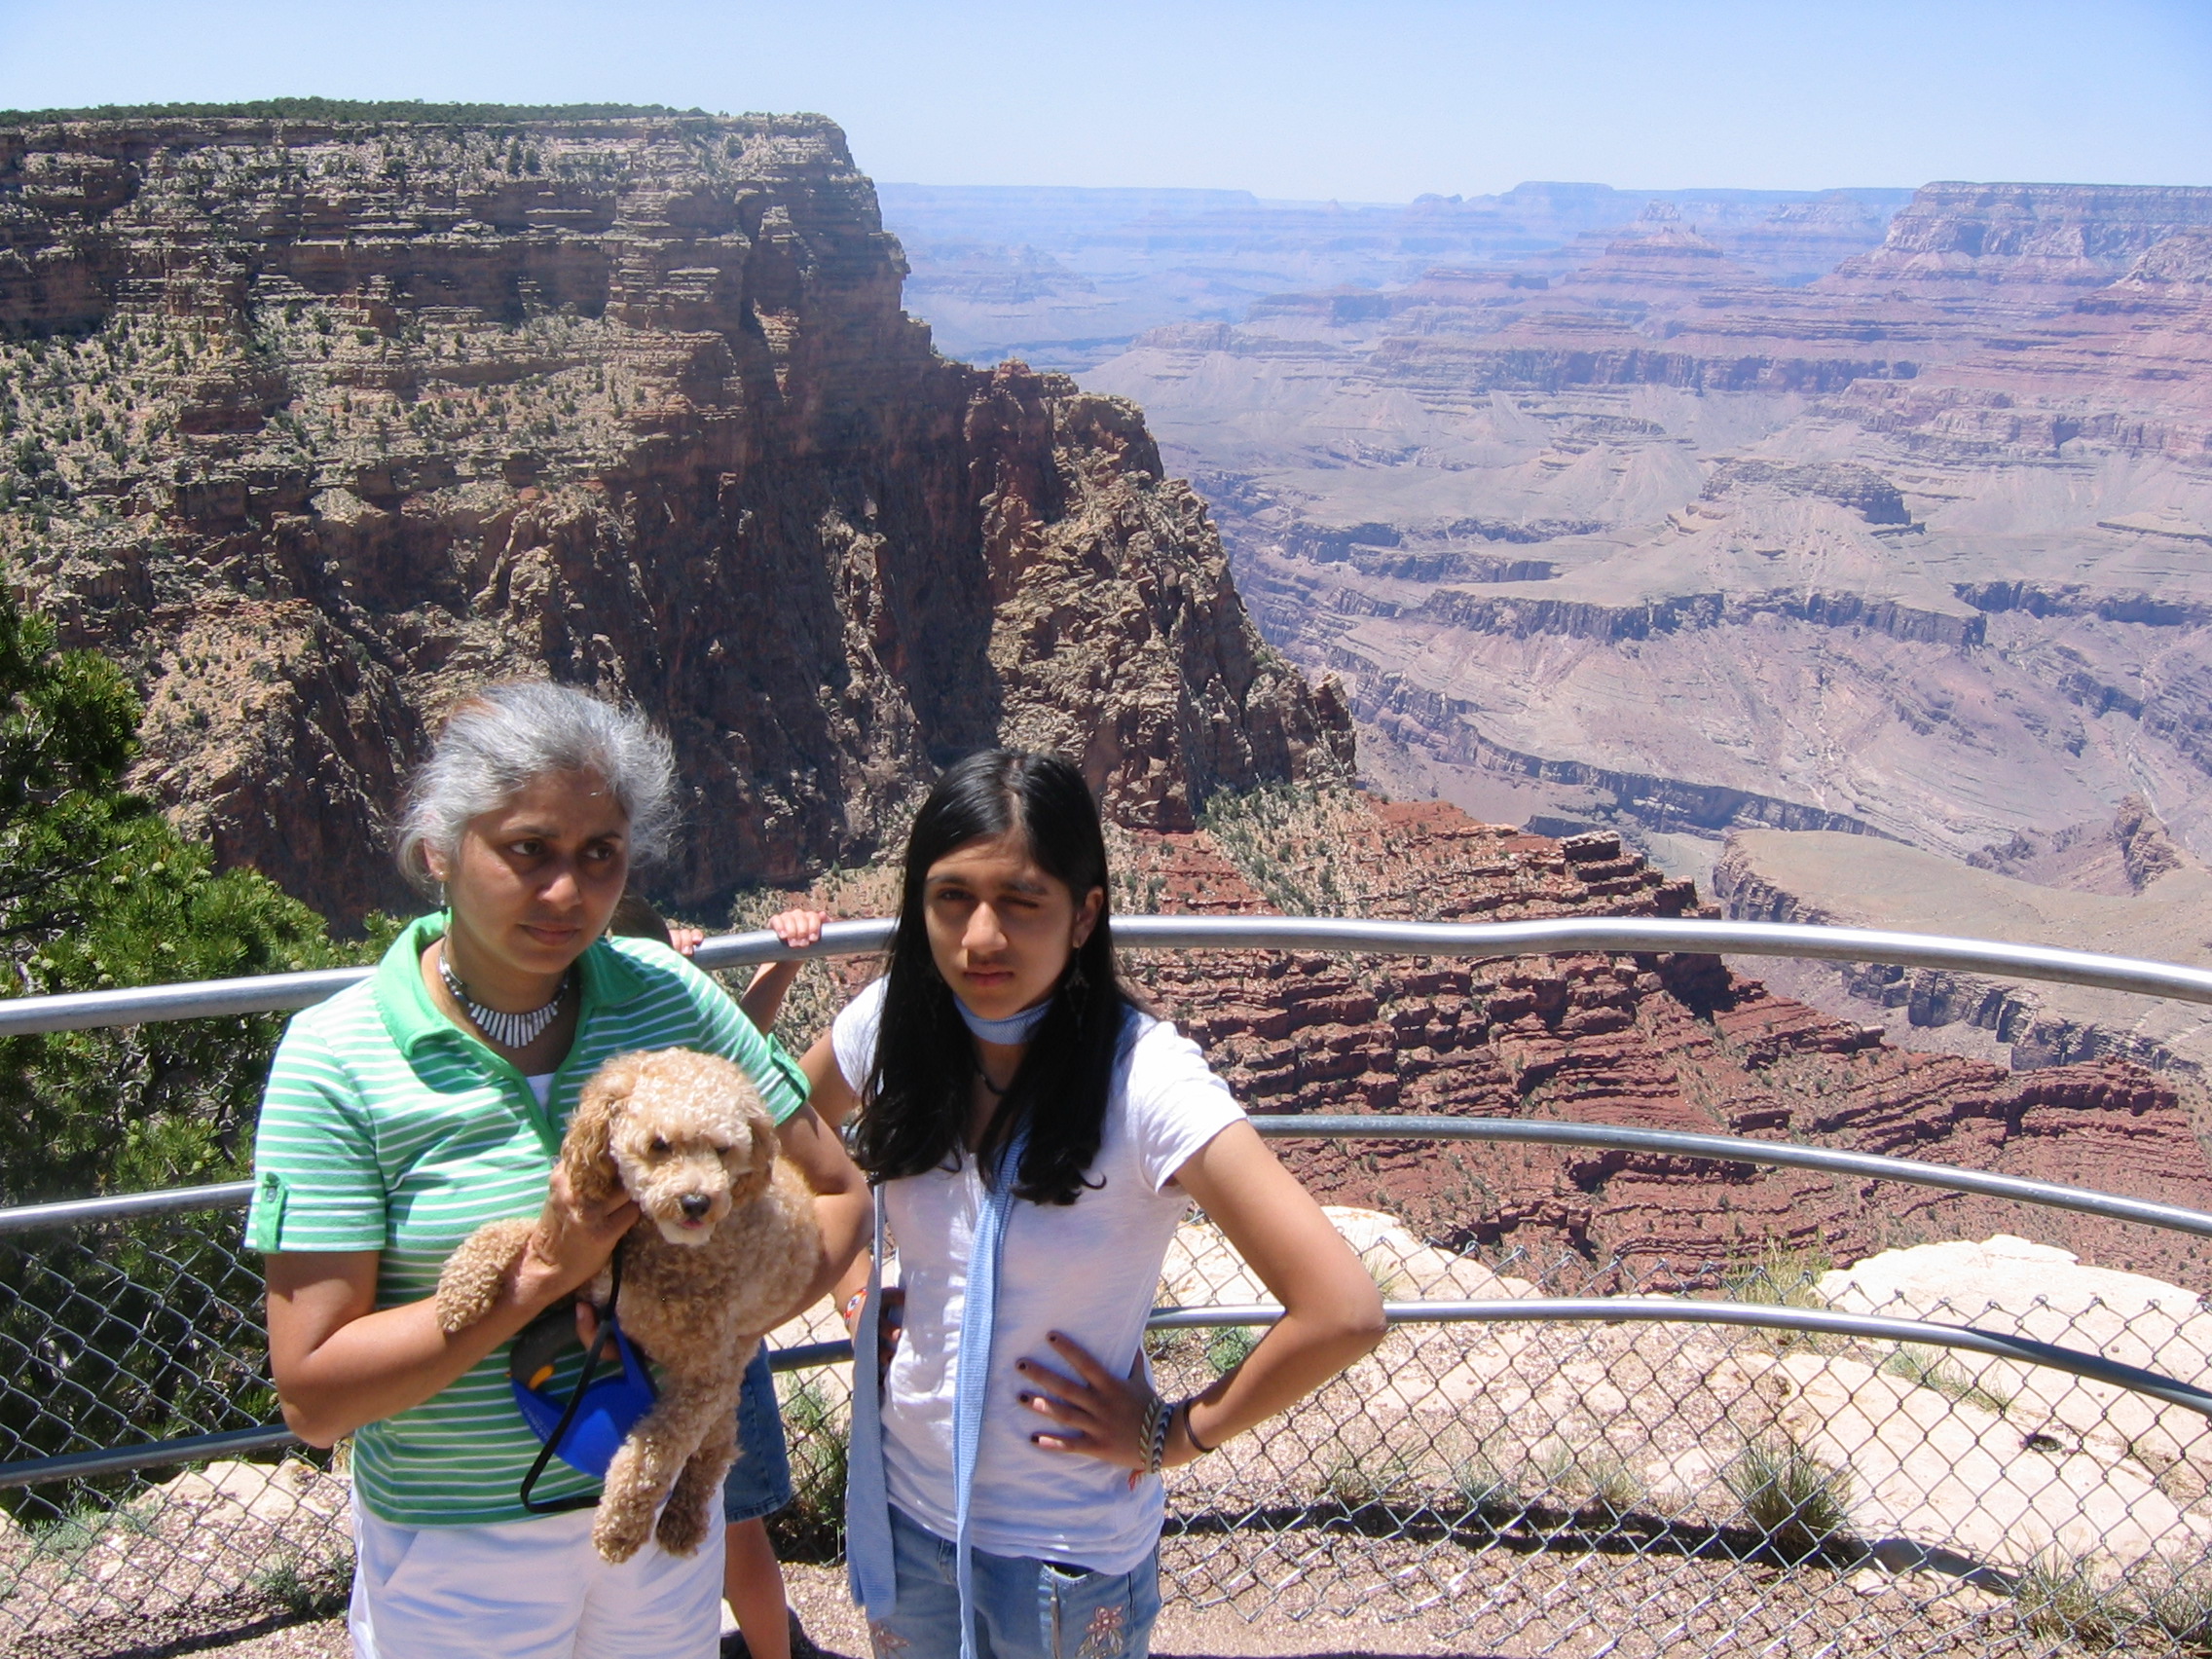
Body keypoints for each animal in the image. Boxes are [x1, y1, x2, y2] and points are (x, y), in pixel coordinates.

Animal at [436, 1047, 822, 1563]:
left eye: (723, 1150)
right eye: (659, 1145)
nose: (696, 1201)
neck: (660, 1251)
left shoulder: (705, 1376)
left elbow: (654, 1450)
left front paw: (621, 1525)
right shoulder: (584, 1277)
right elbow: (515, 1236)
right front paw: (460, 1289)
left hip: (728, 1371)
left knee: (716, 1447)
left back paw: (681, 1519)